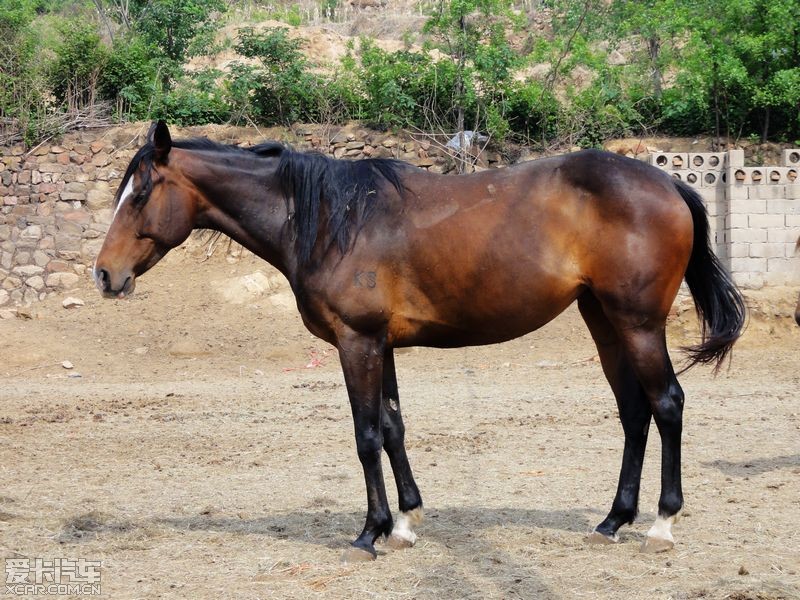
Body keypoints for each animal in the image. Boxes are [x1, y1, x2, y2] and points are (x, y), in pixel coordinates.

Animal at [97, 122, 748, 564]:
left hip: (637, 323)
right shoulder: (380, 344)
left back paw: (661, 524)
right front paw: (406, 522)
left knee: (666, 405)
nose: (104, 275)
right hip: (603, 320)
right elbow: (392, 427)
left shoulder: (355, 342)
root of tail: (669, 181)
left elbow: (364, 435)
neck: (333, 219)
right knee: (634, 412)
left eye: (140, 193)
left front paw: (369, 532)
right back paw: (614, 520)